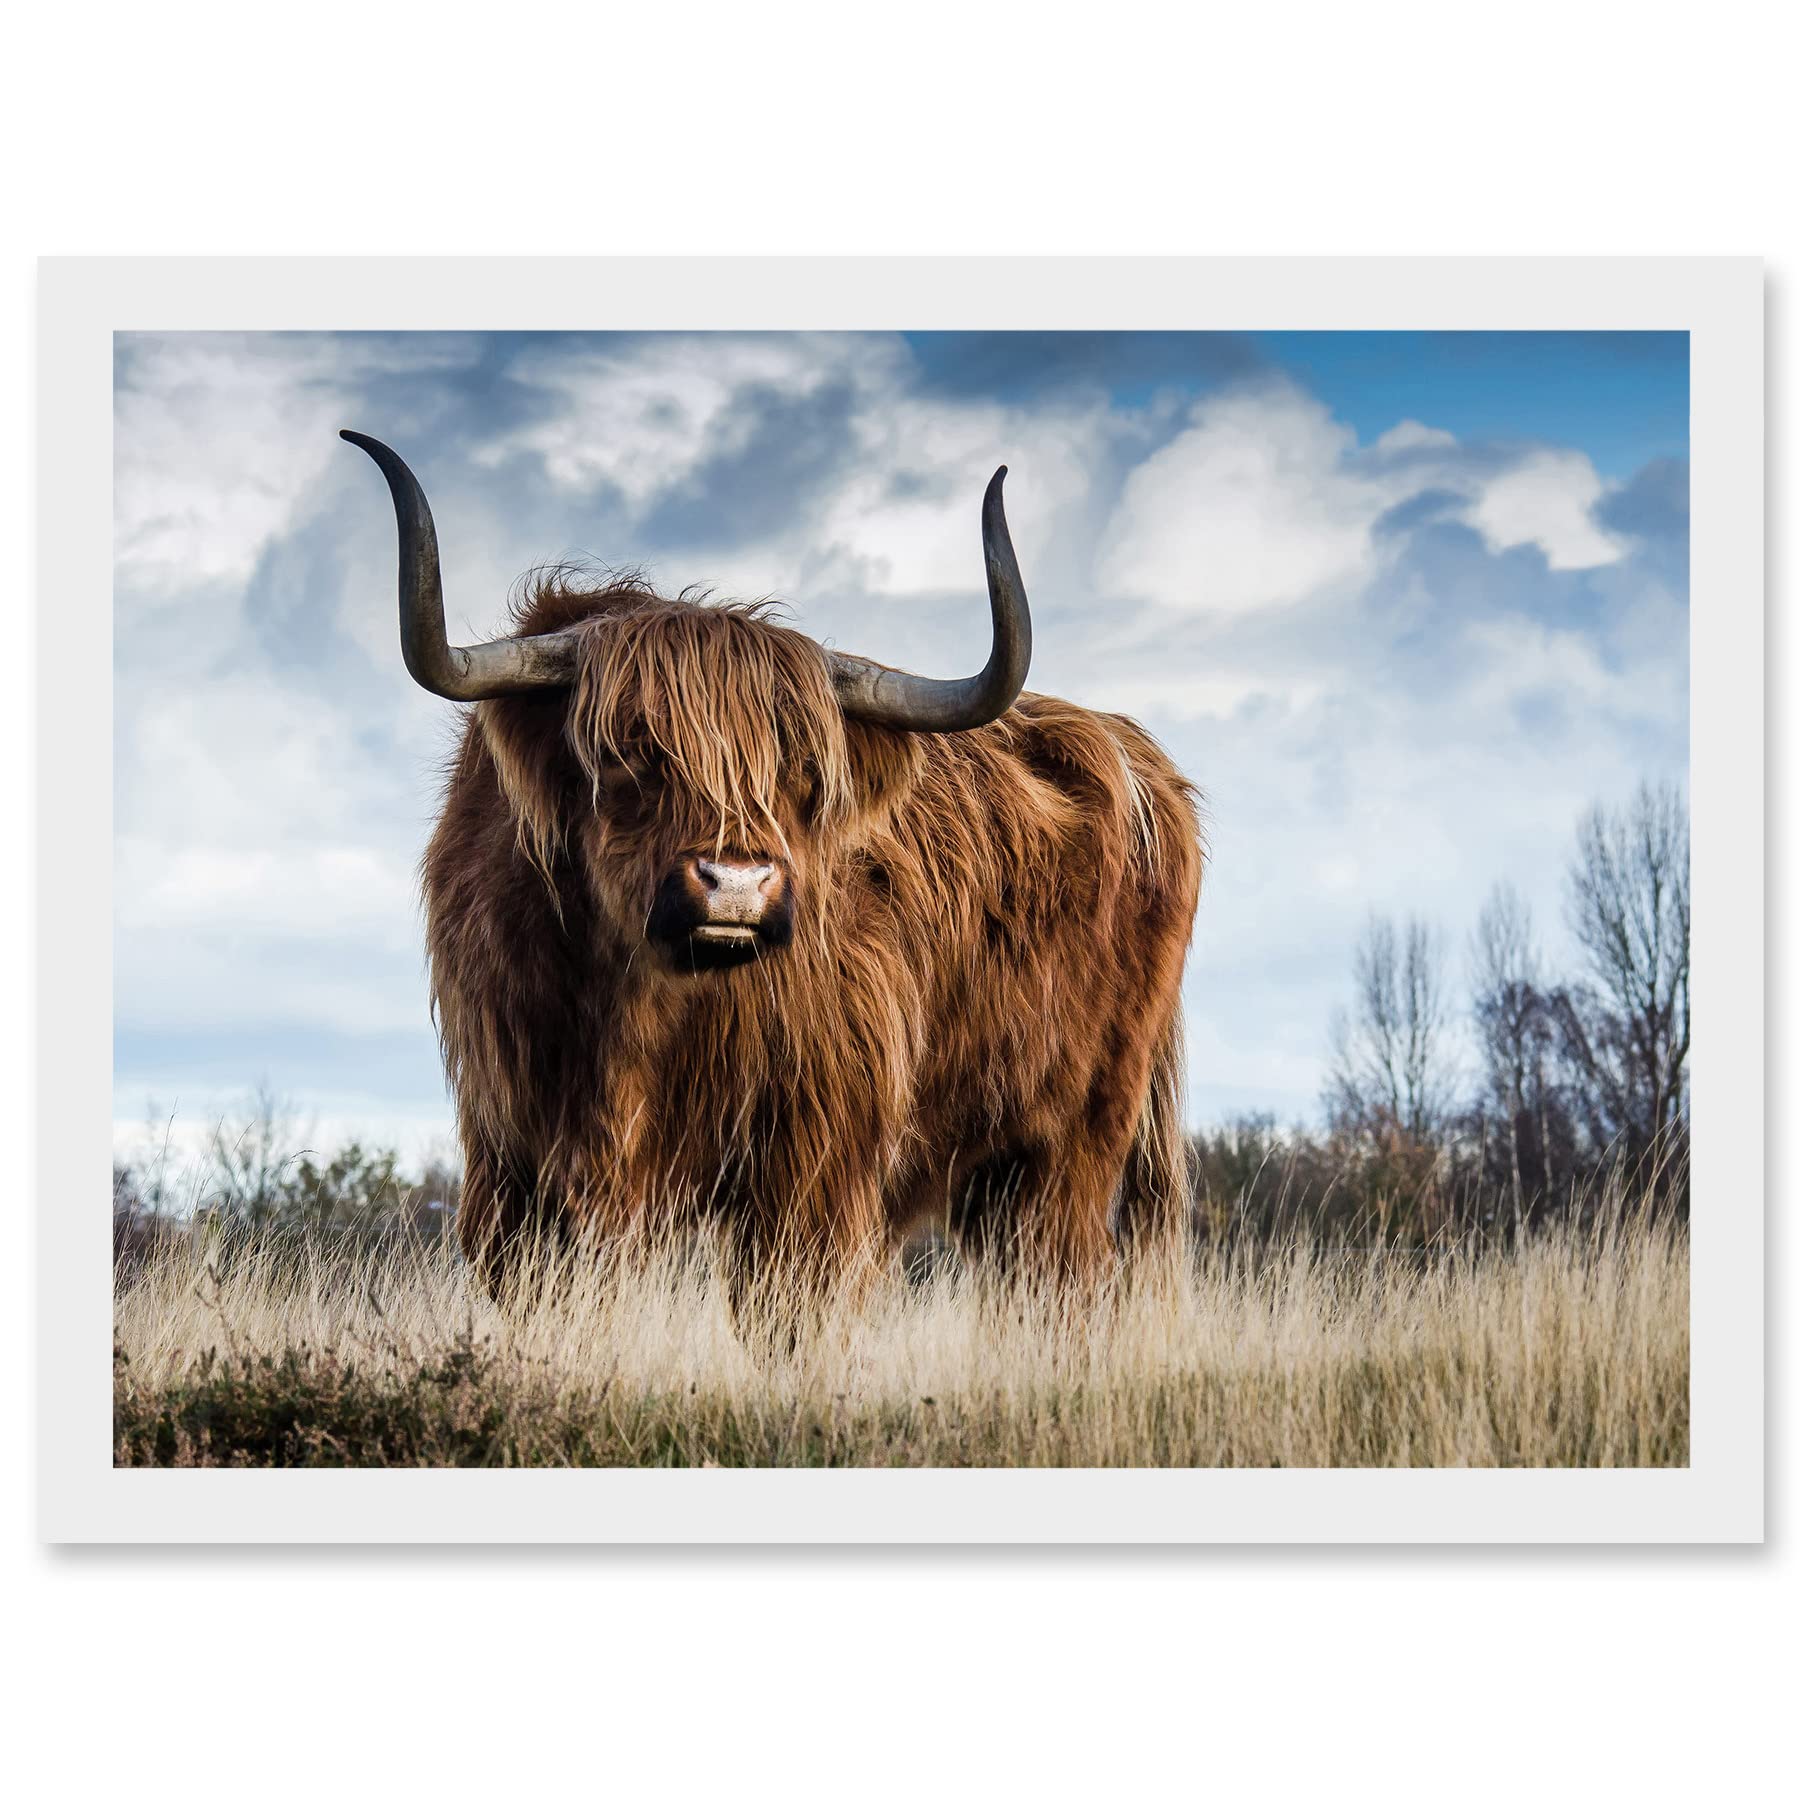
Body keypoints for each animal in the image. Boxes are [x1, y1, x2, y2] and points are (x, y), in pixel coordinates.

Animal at [342, 429, 1202, 1297]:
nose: (738, 885)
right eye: (628, 752)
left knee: (1065, 1275)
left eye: (803, 770)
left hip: (1073, 1141)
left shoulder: (814, 1160)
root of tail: (1137, 754)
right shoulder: (513, 1157)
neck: (633, 1010)